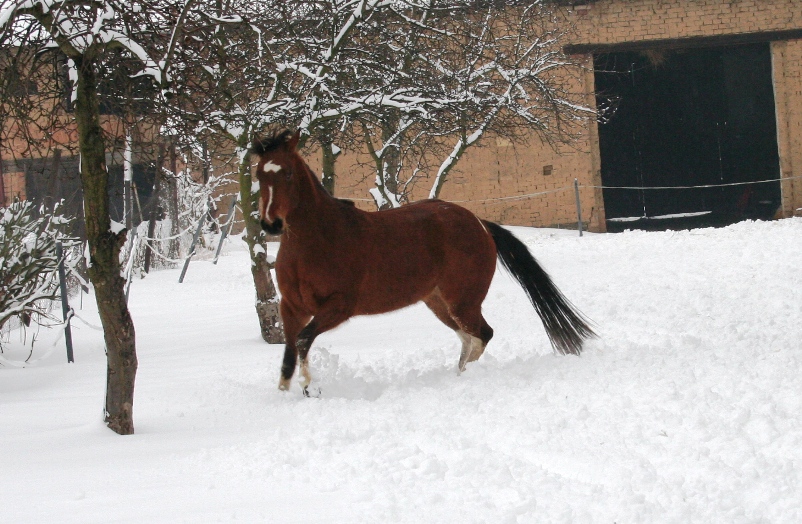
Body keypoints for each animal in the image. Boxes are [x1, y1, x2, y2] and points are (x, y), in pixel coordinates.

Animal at [250, 129, 592, 396]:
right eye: (259, 175)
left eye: (287, 173)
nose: (270, 224)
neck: (318, 241)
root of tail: (479, 223)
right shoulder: (291, 307)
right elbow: (289, 351)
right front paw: (285, 393)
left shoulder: (338, 306)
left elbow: (303, 341)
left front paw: (310, 387)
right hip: (439, 302)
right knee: (468, 338)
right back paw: (458, 374)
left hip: (463, 300)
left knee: (483, 334)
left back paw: (466, 378)